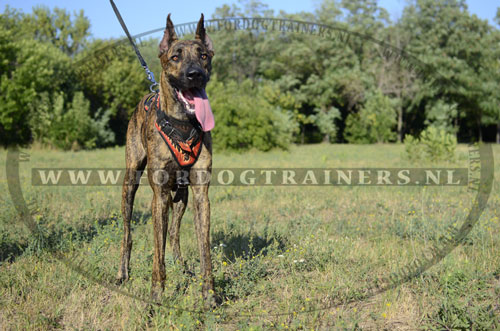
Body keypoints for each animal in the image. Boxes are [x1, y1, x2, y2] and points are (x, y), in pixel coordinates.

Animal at [118, 13, 218, 306]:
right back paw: (122, 272)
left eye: (204, 55)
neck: (183, 124)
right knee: (127, 234)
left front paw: (209, 295)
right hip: (130, 181)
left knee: (174, 233)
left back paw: (182, 265)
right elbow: (157, 251)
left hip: (182, 194)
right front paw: (156, 297)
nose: (194, 74)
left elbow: (205, 248)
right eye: (175, 57)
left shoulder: (200, 194)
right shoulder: (159, 196)